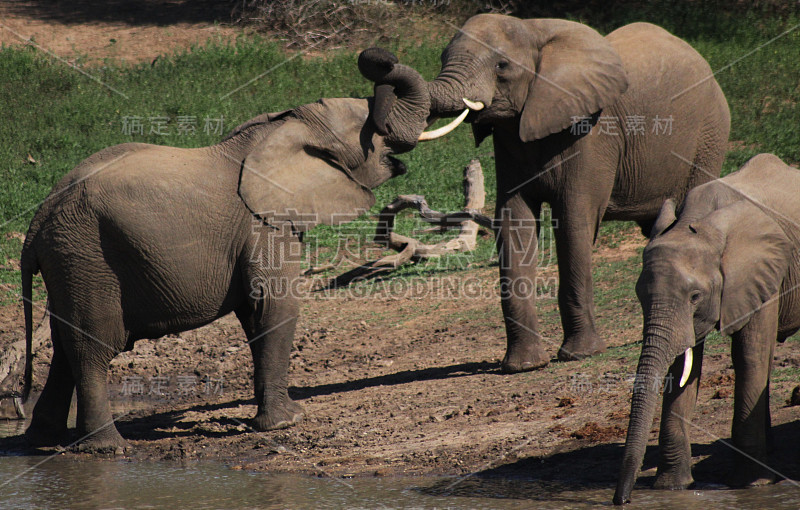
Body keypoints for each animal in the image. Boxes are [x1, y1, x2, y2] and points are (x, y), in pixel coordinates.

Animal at [17, 47, 432, 448]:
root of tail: (38, 222)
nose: (382, 60)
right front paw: (288, 422)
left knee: (64, 347)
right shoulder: (263, 224)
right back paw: (108, 447)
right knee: (92, 347)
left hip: (70, 259)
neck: (281, 128)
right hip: (87, 255)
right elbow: (276, 306)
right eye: (371, 130)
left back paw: (43, 441)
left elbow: (254, 312)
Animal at [360, 14, 732, 370]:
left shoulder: (590, 131)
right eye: (441, 57)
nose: (383, 58)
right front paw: (523, 366)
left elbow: (573, 222)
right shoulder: (509, 135)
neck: (534, 31)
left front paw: (580, 355)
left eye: (502, 66)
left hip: (709, 135)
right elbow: (515, 222)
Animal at [612, 153, 800, 504]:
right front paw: (672, 488)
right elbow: (683, 367)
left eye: (695, 296)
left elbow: (749, 356)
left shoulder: (762, 274)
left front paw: (750, 486)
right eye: (640, 296)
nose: (622, 501)